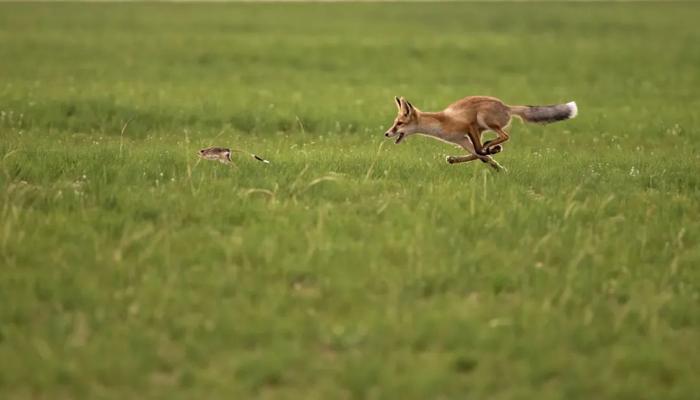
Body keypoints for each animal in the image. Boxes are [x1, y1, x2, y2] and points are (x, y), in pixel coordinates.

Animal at [386, 97, 576, 172]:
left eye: (399, 124)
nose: (387, 133)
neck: (441, 123)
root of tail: (506, 106)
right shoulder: (462, 139)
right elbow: (479, 154)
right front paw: (500, 168)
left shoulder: (469, 126)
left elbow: (479, 150)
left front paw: (493, 152)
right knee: (484, 150)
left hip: (484, 119)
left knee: (504, 135)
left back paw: (493, 146)